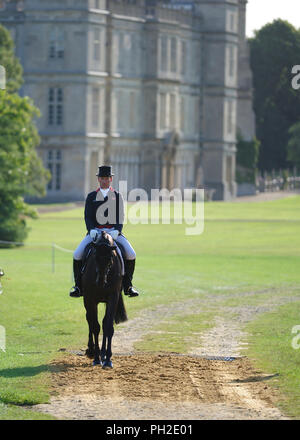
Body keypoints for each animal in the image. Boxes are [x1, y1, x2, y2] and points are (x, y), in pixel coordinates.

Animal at [81, 230, 127, 368]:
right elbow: (95, 327)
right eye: (95, 257)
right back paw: (91, 350)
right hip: (87, 301)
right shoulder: (90, 299)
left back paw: (103, 353)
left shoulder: (113, 298)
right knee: (89, 320)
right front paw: (96, 358)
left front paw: (107, 359)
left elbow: (107, 326)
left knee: (104, 321)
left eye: (110, 258)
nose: (101, 282)